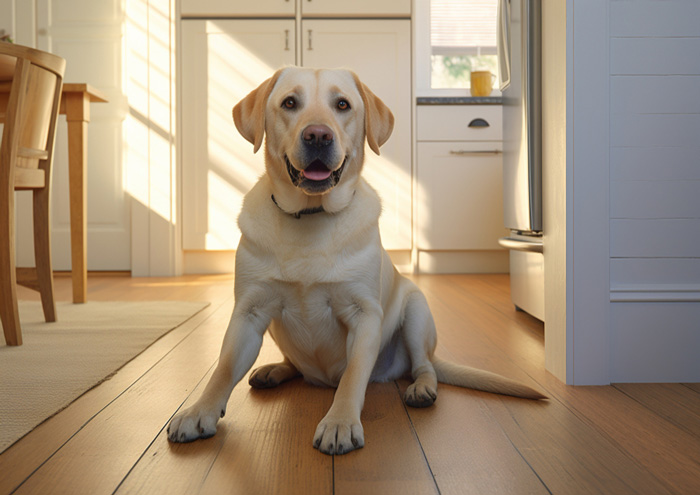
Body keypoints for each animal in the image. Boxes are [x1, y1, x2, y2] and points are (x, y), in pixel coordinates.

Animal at [167, 68, 544, 456]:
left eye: (343, 105)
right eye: (290, 103)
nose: (318, 135)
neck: (311, 215)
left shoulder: (364, 316)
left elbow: (352, 377)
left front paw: (339, 423)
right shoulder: (249, 312)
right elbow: (223, 369)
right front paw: (199, 411)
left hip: (416, 309)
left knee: (424, 365)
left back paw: (422, 388)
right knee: (294, 364)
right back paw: (274, 370)